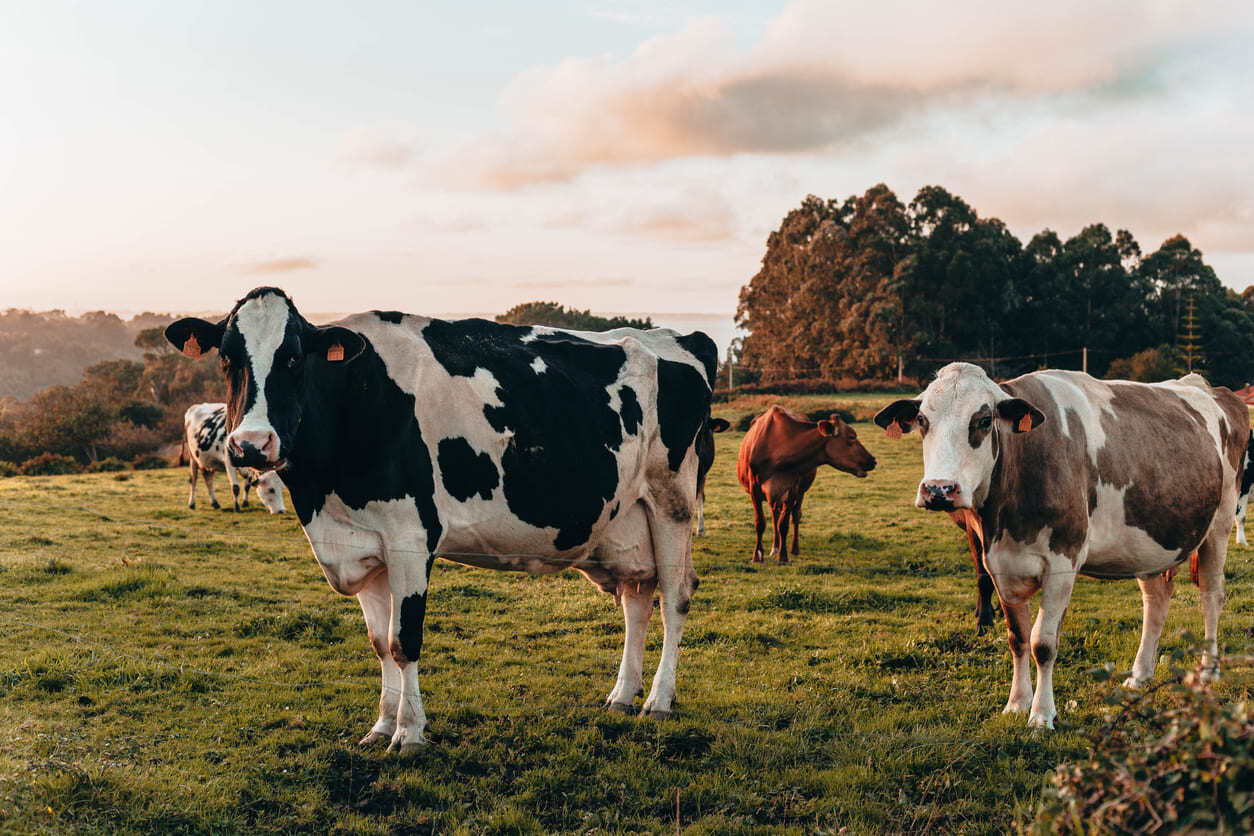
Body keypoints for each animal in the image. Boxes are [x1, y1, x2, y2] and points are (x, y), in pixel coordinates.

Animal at [166, 285, 717, 752]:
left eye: (294, 357)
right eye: (227, 358)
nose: (250, 445)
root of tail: (678, 336)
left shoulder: (410, 538)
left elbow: (403, 642)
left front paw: (409, 734)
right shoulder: (362, 541)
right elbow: (378, 643)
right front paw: (380, 725)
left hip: (671, 502)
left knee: (675, 597)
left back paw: (658, 700)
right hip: (628, 524)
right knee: (638, 599)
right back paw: (622, 695)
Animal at [732, 406, 877, 561]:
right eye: (851, 436)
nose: (872, 460)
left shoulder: (792, 488)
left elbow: (784, 524)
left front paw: (783, 556)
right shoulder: (754, 488)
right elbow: (760, 523)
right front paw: (757, 556)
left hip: (800, 490)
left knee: (795, 515)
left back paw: (794, 548)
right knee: (775, 513)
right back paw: (775, 547)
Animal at [877, 363, 1248, 726]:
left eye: (982, 420)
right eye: (923, 420)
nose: (938, 489)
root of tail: (1205, 385)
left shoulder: (1061, 564)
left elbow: (1043, 643)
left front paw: (1042, 714)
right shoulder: (999, 565)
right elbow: (1017, 638)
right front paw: (1016, 704)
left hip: (1220, 524)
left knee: (1212, 596)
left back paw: (1208, 671)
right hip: (1151, 540)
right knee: (1156, 600)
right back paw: (1140, 675)